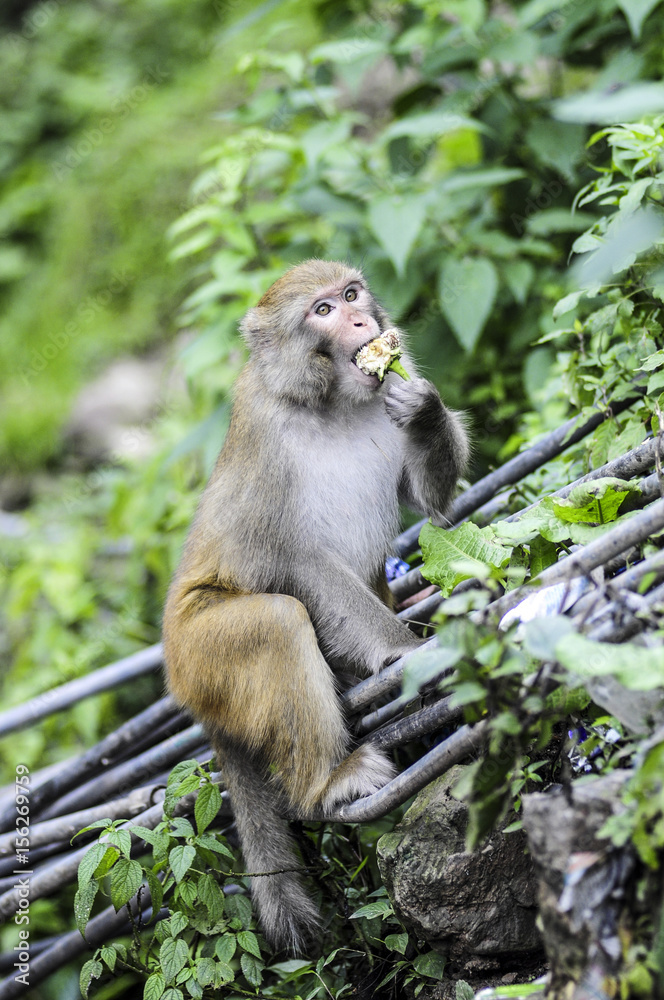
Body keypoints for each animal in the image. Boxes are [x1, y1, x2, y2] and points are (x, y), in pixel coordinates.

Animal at [163, 258, 470, 952]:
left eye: (353, 294)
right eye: (323, 311)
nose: (359, 322)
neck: (330, 405)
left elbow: (429, 499)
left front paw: (425, 411)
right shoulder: (267, 443)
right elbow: (298, 561)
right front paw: (403, 651)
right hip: (198, 655)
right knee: (279, 620)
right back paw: (324, 786)